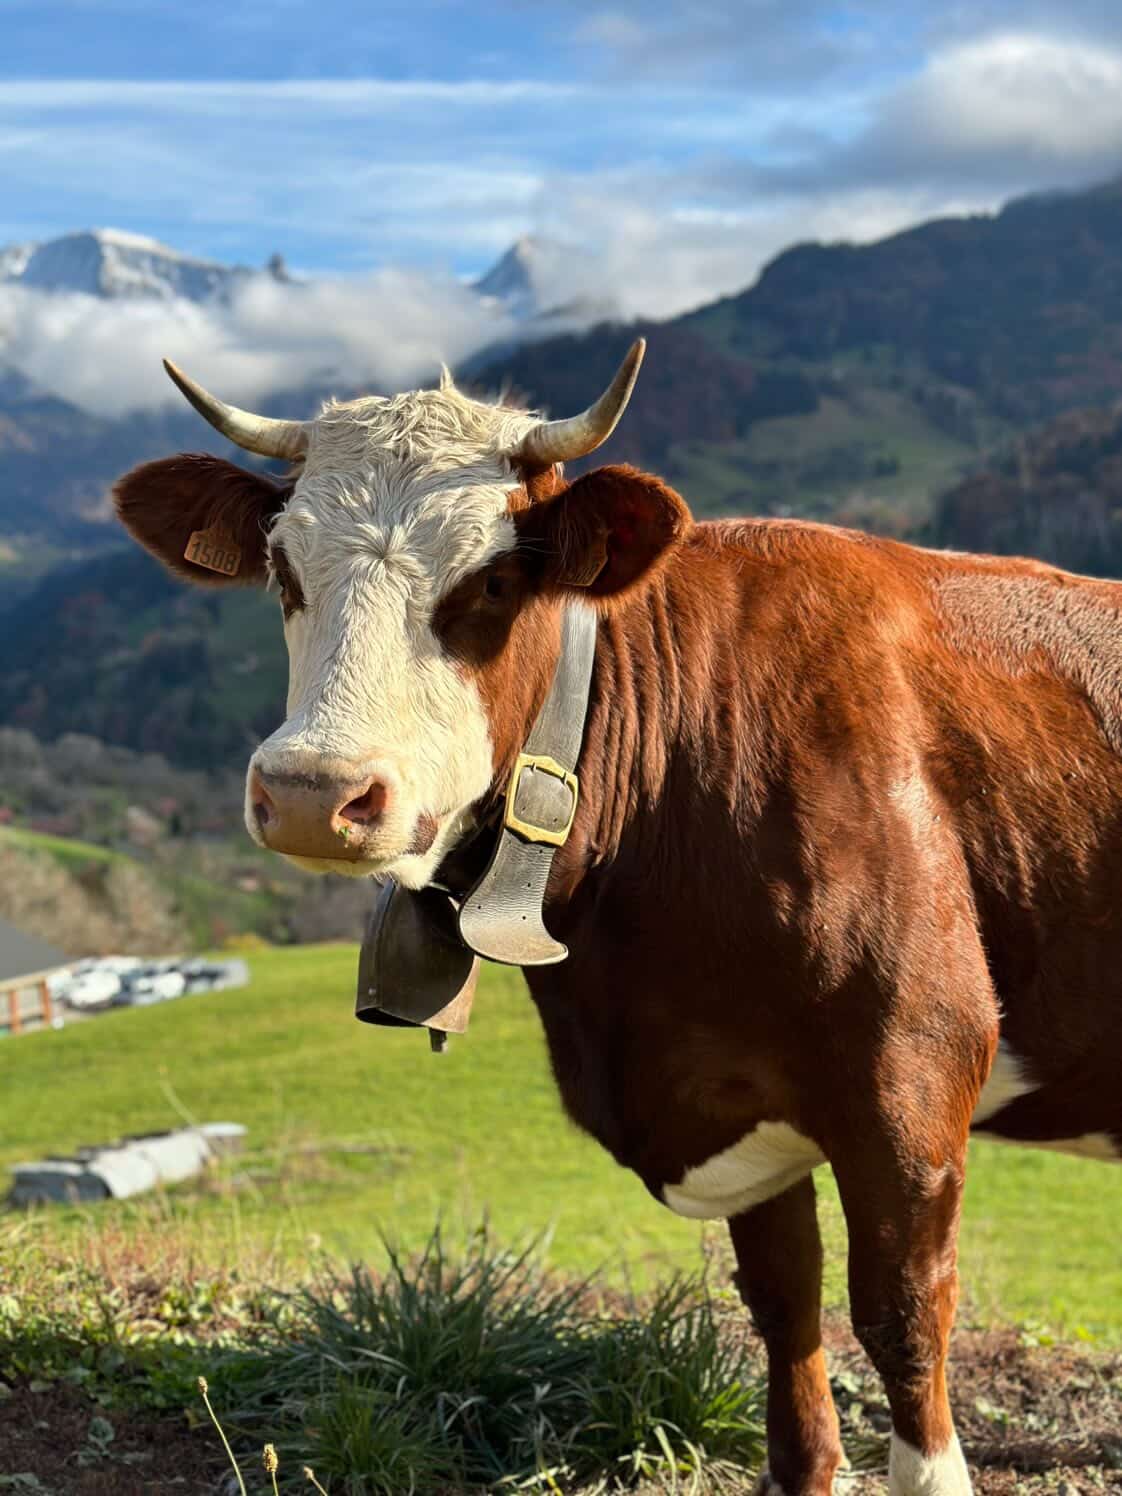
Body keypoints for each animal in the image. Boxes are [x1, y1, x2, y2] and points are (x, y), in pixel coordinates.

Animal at [113, 344, 1122, 1496]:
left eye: (493, 580)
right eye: (283, 572)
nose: (313, 791)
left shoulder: (912, 1068)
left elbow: (904, 1319)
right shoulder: (736, 1100)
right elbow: (787, 1317)